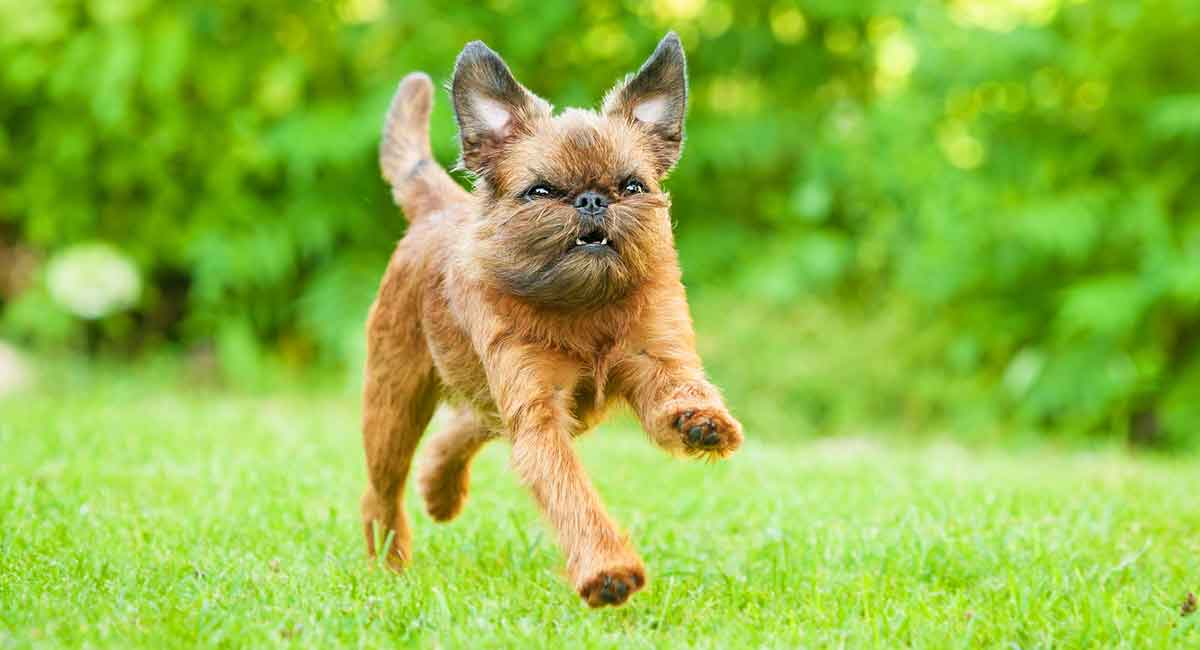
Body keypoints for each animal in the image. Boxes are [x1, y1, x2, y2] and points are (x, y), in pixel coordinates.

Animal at [360, 33, 744, 609]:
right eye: (540, 191)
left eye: (632, 186)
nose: (592, 198)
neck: (584, 310)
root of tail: (439, 209)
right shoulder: (538, 410)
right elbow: (569, 492)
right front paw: (608, 571)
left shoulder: (656, 356)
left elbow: (676, 391)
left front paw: (699, 421)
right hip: (394, 400)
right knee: (382, 488)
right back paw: (387, 562)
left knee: (465, 424)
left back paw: (439, 489)